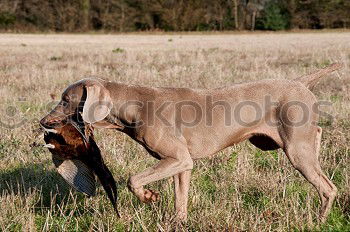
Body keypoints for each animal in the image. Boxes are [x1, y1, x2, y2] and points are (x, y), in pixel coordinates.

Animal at [40, 63, 342, 221]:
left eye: (65, 100)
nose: (43, 121)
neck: (134, 106)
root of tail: (301, 82)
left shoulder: (177, 158)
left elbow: (132, 179)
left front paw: (149, 196)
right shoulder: (181, 164)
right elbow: (180, 197)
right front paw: (179, 221)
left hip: (297, 150)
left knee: (328, 188)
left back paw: (318, 221)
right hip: (301, 143)